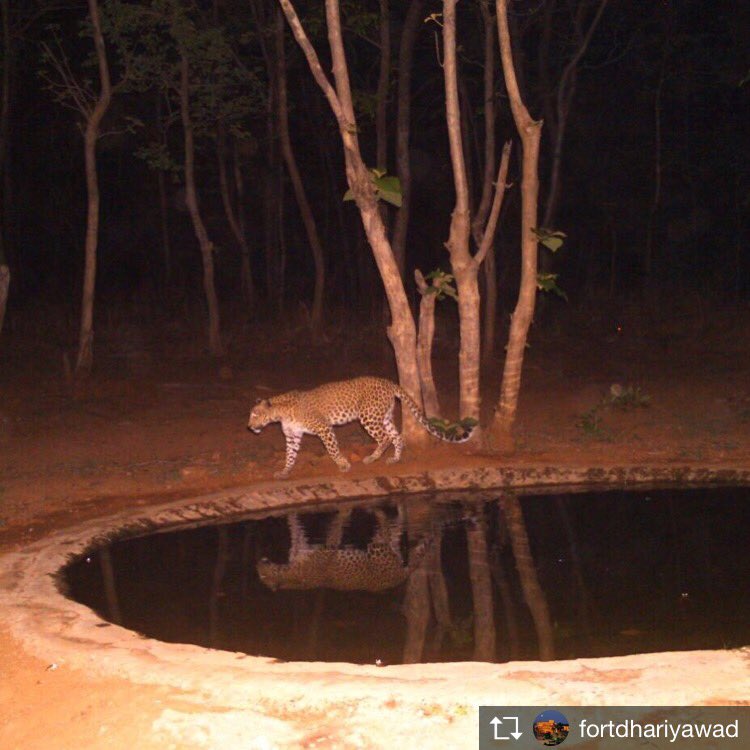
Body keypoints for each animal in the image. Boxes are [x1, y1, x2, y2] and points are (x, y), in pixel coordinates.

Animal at [247, 375, 474, 478]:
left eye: (255, 414)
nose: (249, 427)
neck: (281, 413)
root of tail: (389, 382)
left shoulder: (323, 428)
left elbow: (332, 449)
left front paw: (343, 465)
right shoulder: (293, 436)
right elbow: (290, 455)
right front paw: (284, 471)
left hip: (368, 417)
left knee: (385, 438)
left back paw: (372, 458)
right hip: (384, 416)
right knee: (397, 437)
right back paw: (394, 459)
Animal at [257, 508, 426, 592]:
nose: (258, 561)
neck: (286, 574)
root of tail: (400, 578)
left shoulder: (300, 546)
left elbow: (295, 527)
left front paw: (291, 514)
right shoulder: (327, 550)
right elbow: (336, 531)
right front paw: (345, 512)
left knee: (396, 528)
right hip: (378, 550)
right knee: (386, 530)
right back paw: (379, 513)